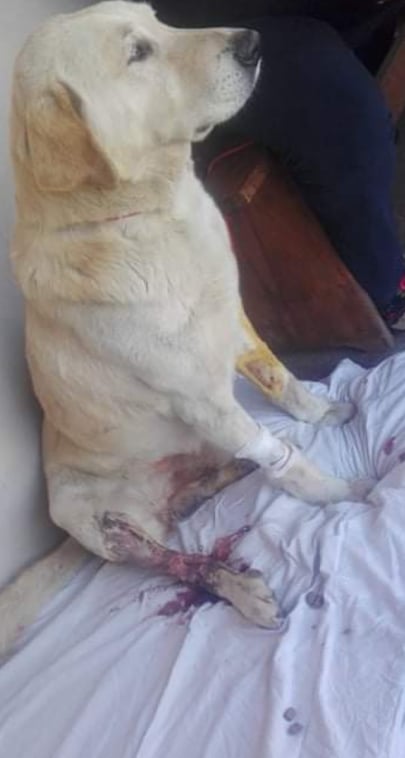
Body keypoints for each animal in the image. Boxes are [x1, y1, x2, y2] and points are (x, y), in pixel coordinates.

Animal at [0, 1, 372, 657]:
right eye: (137, 53)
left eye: (159, 20)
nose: (253, 42)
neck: (152, 217)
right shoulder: (201, 400)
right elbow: (290, 461)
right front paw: (337, 494)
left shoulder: (235, 321)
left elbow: (283, 384)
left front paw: (324, 413)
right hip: (95, 519)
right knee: (177, 560)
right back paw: (237, 585)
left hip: (196, 449)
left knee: (199, 489)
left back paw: (223, 477)